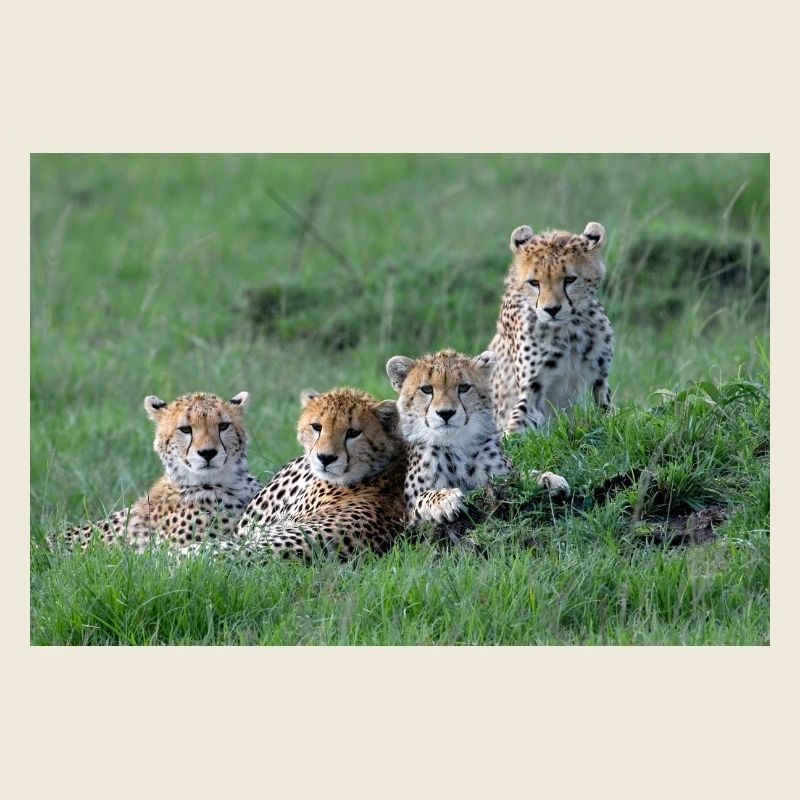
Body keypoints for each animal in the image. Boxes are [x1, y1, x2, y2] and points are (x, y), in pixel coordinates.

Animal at [385, 348, 569, 528]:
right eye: (427, 389)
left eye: (464, 387)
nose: (446, 413)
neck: (455, 443)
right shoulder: (407, 520)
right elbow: (423, 497)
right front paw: (445, 499)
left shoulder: (500, 477)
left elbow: (518, 475)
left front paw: (547, 479)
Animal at [489, 221, 615, 435]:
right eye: (534, 282)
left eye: (570, 279)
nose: (552, 310)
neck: (569, 331)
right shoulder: (532, 391)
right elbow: (515, 428)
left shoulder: (599, 380)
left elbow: (608, 412)